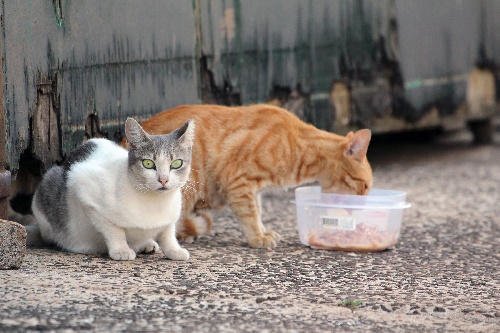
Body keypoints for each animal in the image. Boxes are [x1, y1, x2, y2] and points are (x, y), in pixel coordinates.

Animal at [29, 116, 193, 260]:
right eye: (148, 163)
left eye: (176, 163)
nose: (163, 179)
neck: (155, 202)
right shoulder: (85, 191)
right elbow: (114, 230)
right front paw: (121, 250)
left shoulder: (170, 217)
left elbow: (168, 233)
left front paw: (174, 250)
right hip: (48, 187)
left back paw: (147, 244)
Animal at [125, 104, 374, 246]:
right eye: (364, 187)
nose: (363, 208)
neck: (301, 146)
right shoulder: (238, 181)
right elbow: (250, 215)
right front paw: (257, 238)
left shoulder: (252, 189)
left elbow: (258, 211)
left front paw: (263, 231)